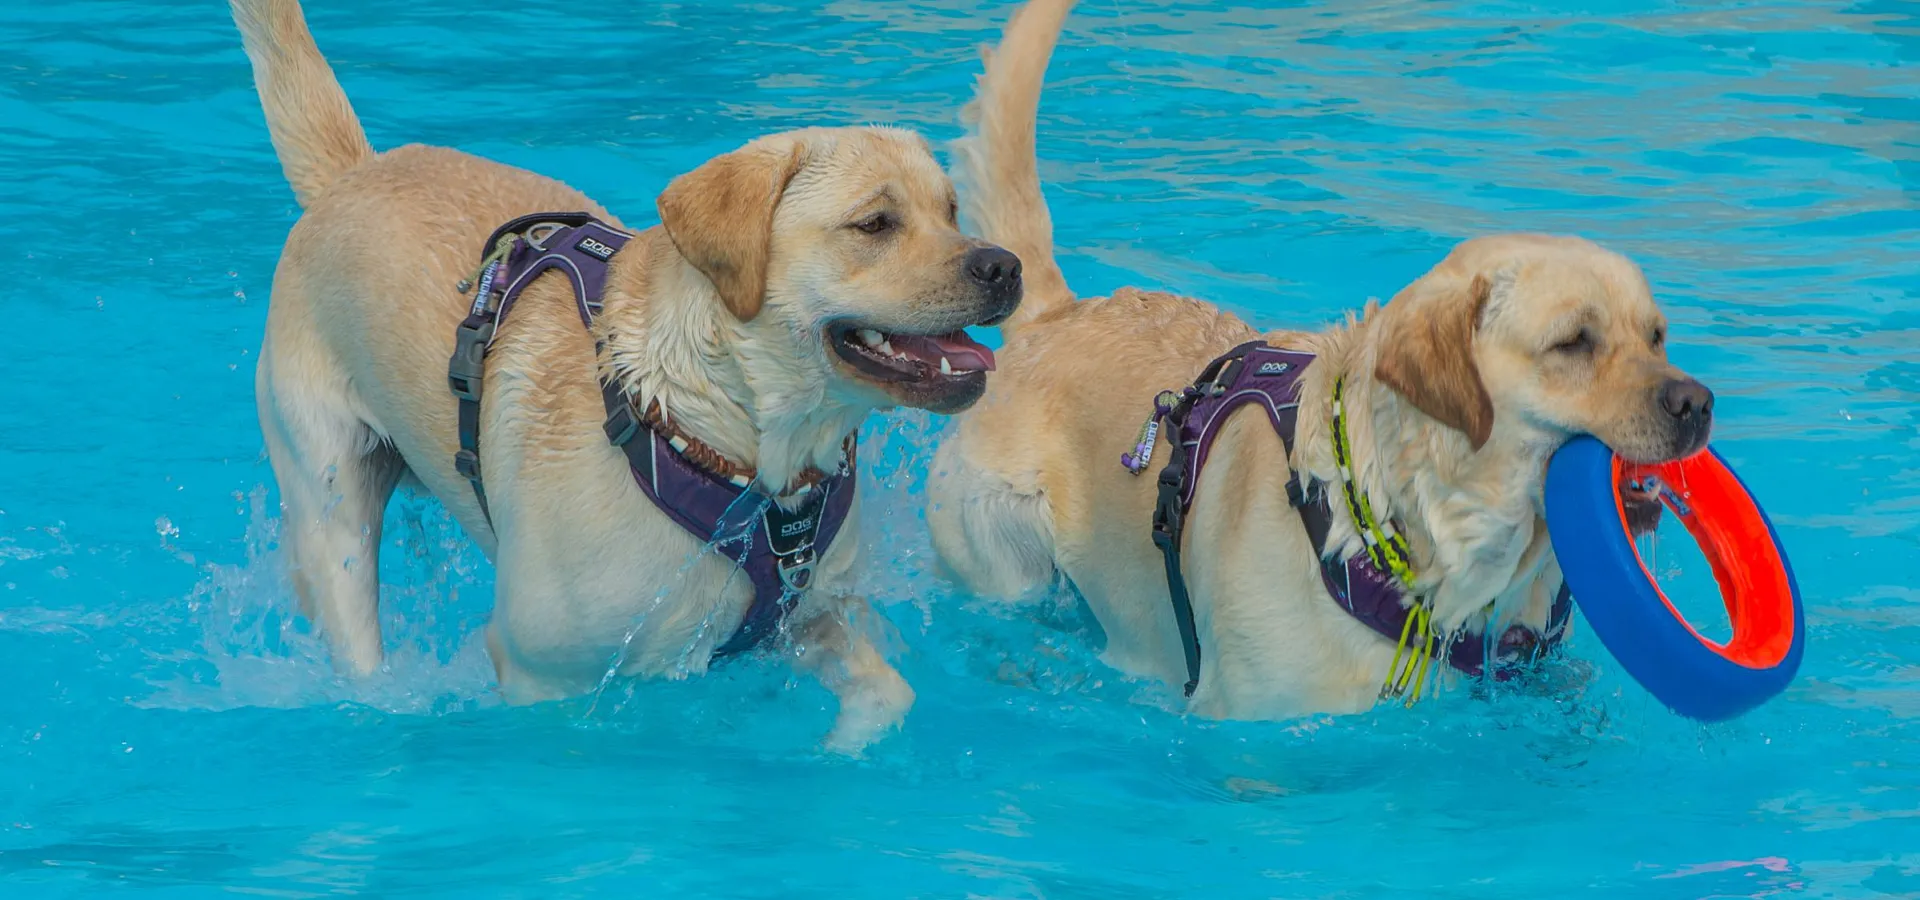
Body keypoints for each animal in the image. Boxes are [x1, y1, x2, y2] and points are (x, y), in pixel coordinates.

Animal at [228, 0, 1021, 752]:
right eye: (875, 224)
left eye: (952, 210)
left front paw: (843, 746)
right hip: (330, 507)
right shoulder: (542, 674)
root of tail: (351, 172)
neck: (717, 439)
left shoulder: (814, 613)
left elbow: (890, 691)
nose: (1004, 265)